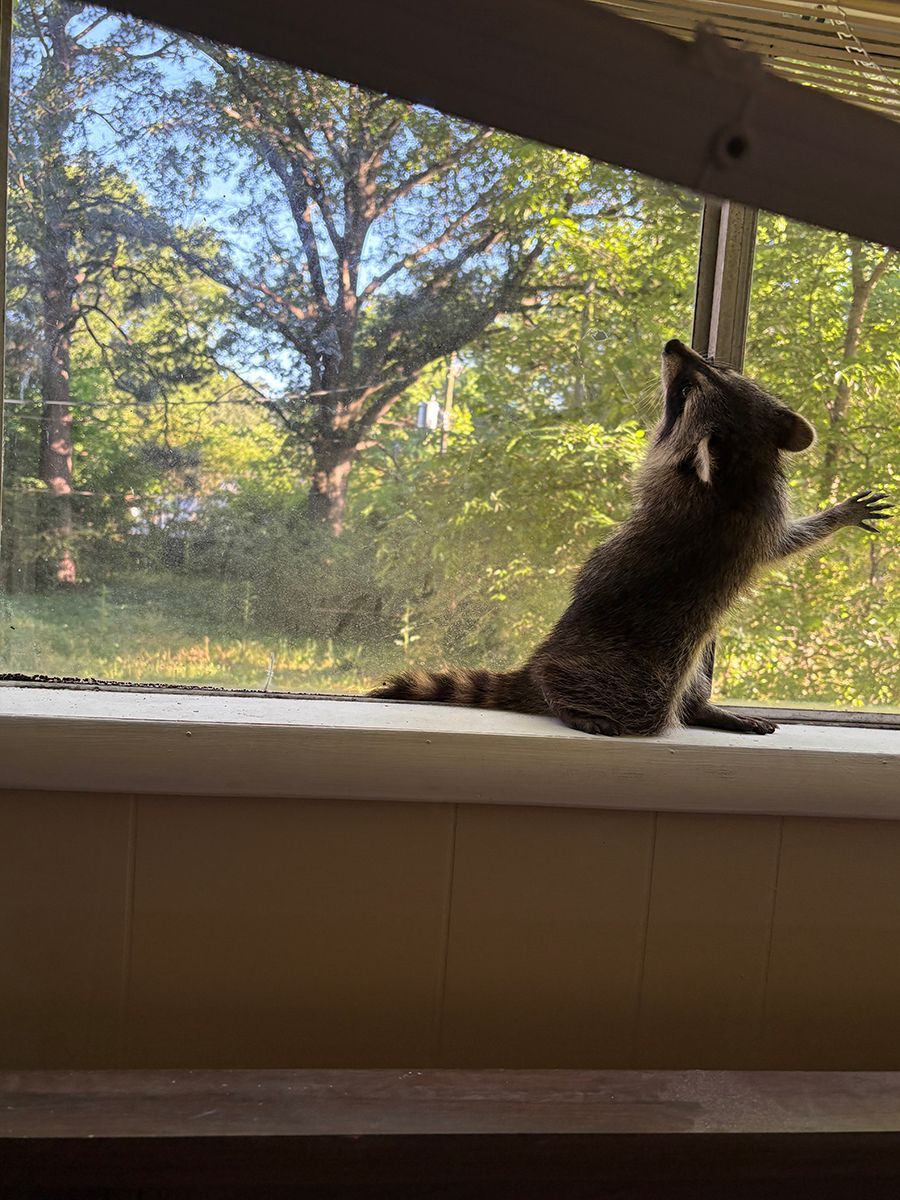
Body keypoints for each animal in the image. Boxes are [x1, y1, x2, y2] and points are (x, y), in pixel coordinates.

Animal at [371, 340, 892, 736]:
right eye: (702, 373)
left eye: (690, 385)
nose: (675, 343)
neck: (739, 466)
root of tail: (539, 663)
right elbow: (784, 544)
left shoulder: (753, 517)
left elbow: (787, 543)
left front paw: (836, 516)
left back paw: (695, 708)